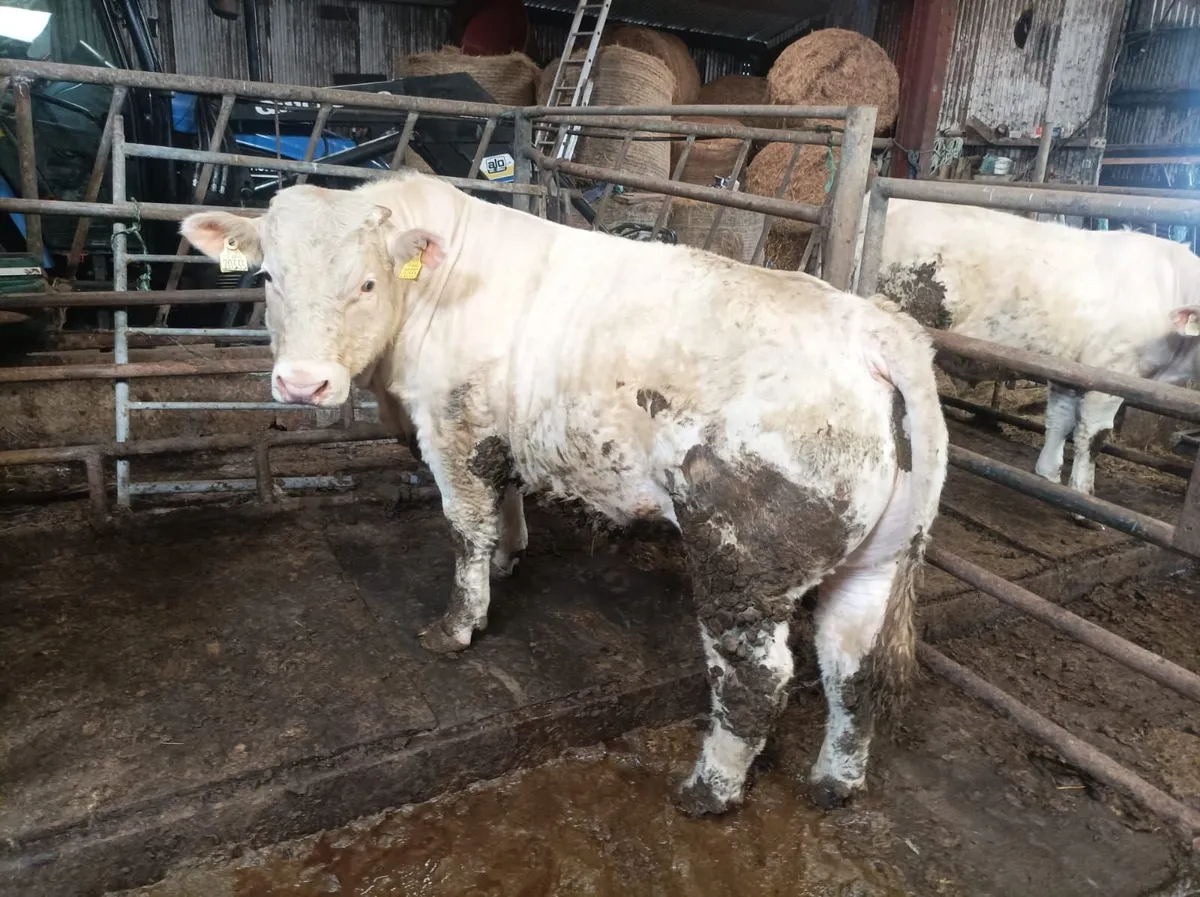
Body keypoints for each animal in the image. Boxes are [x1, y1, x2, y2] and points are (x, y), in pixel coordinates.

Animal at [181, 172, 948, 816]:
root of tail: (876, 330)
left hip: (741, 555)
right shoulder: (499, 432)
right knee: (853, 667)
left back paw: (708, 790)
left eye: (368, 283)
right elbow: (506, 502)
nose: (301, 383)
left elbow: (465, 527)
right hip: (879, 558)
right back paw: (835, 782)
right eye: (269, 276)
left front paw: (458, 624)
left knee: (756, 679)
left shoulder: (453, 430)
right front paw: (508, 557)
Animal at [866, 198, 1200, 508]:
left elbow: (1060, 421)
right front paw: (1083, 500)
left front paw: (1048, 477)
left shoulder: (1069, 371)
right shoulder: (1113, 374)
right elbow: (1094, 436)